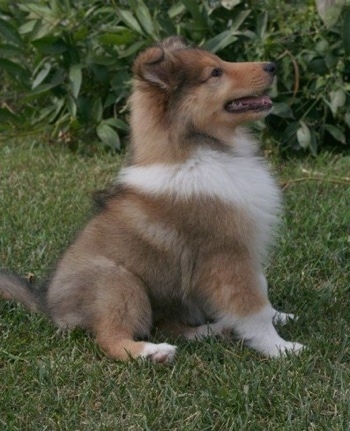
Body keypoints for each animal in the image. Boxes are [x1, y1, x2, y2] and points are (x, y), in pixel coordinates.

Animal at [0, 37, 304, 362]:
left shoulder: (244, 251)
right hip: (120, 283)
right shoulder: (226, 255)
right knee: (111, 337)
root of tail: (49, 307)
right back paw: (154, 352)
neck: (201, 150)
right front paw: (281, 348)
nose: (272, 66)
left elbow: (262, 288)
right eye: (215, 73)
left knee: (171, 326)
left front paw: (280, 316)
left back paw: (213, 330)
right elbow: (251, 307)